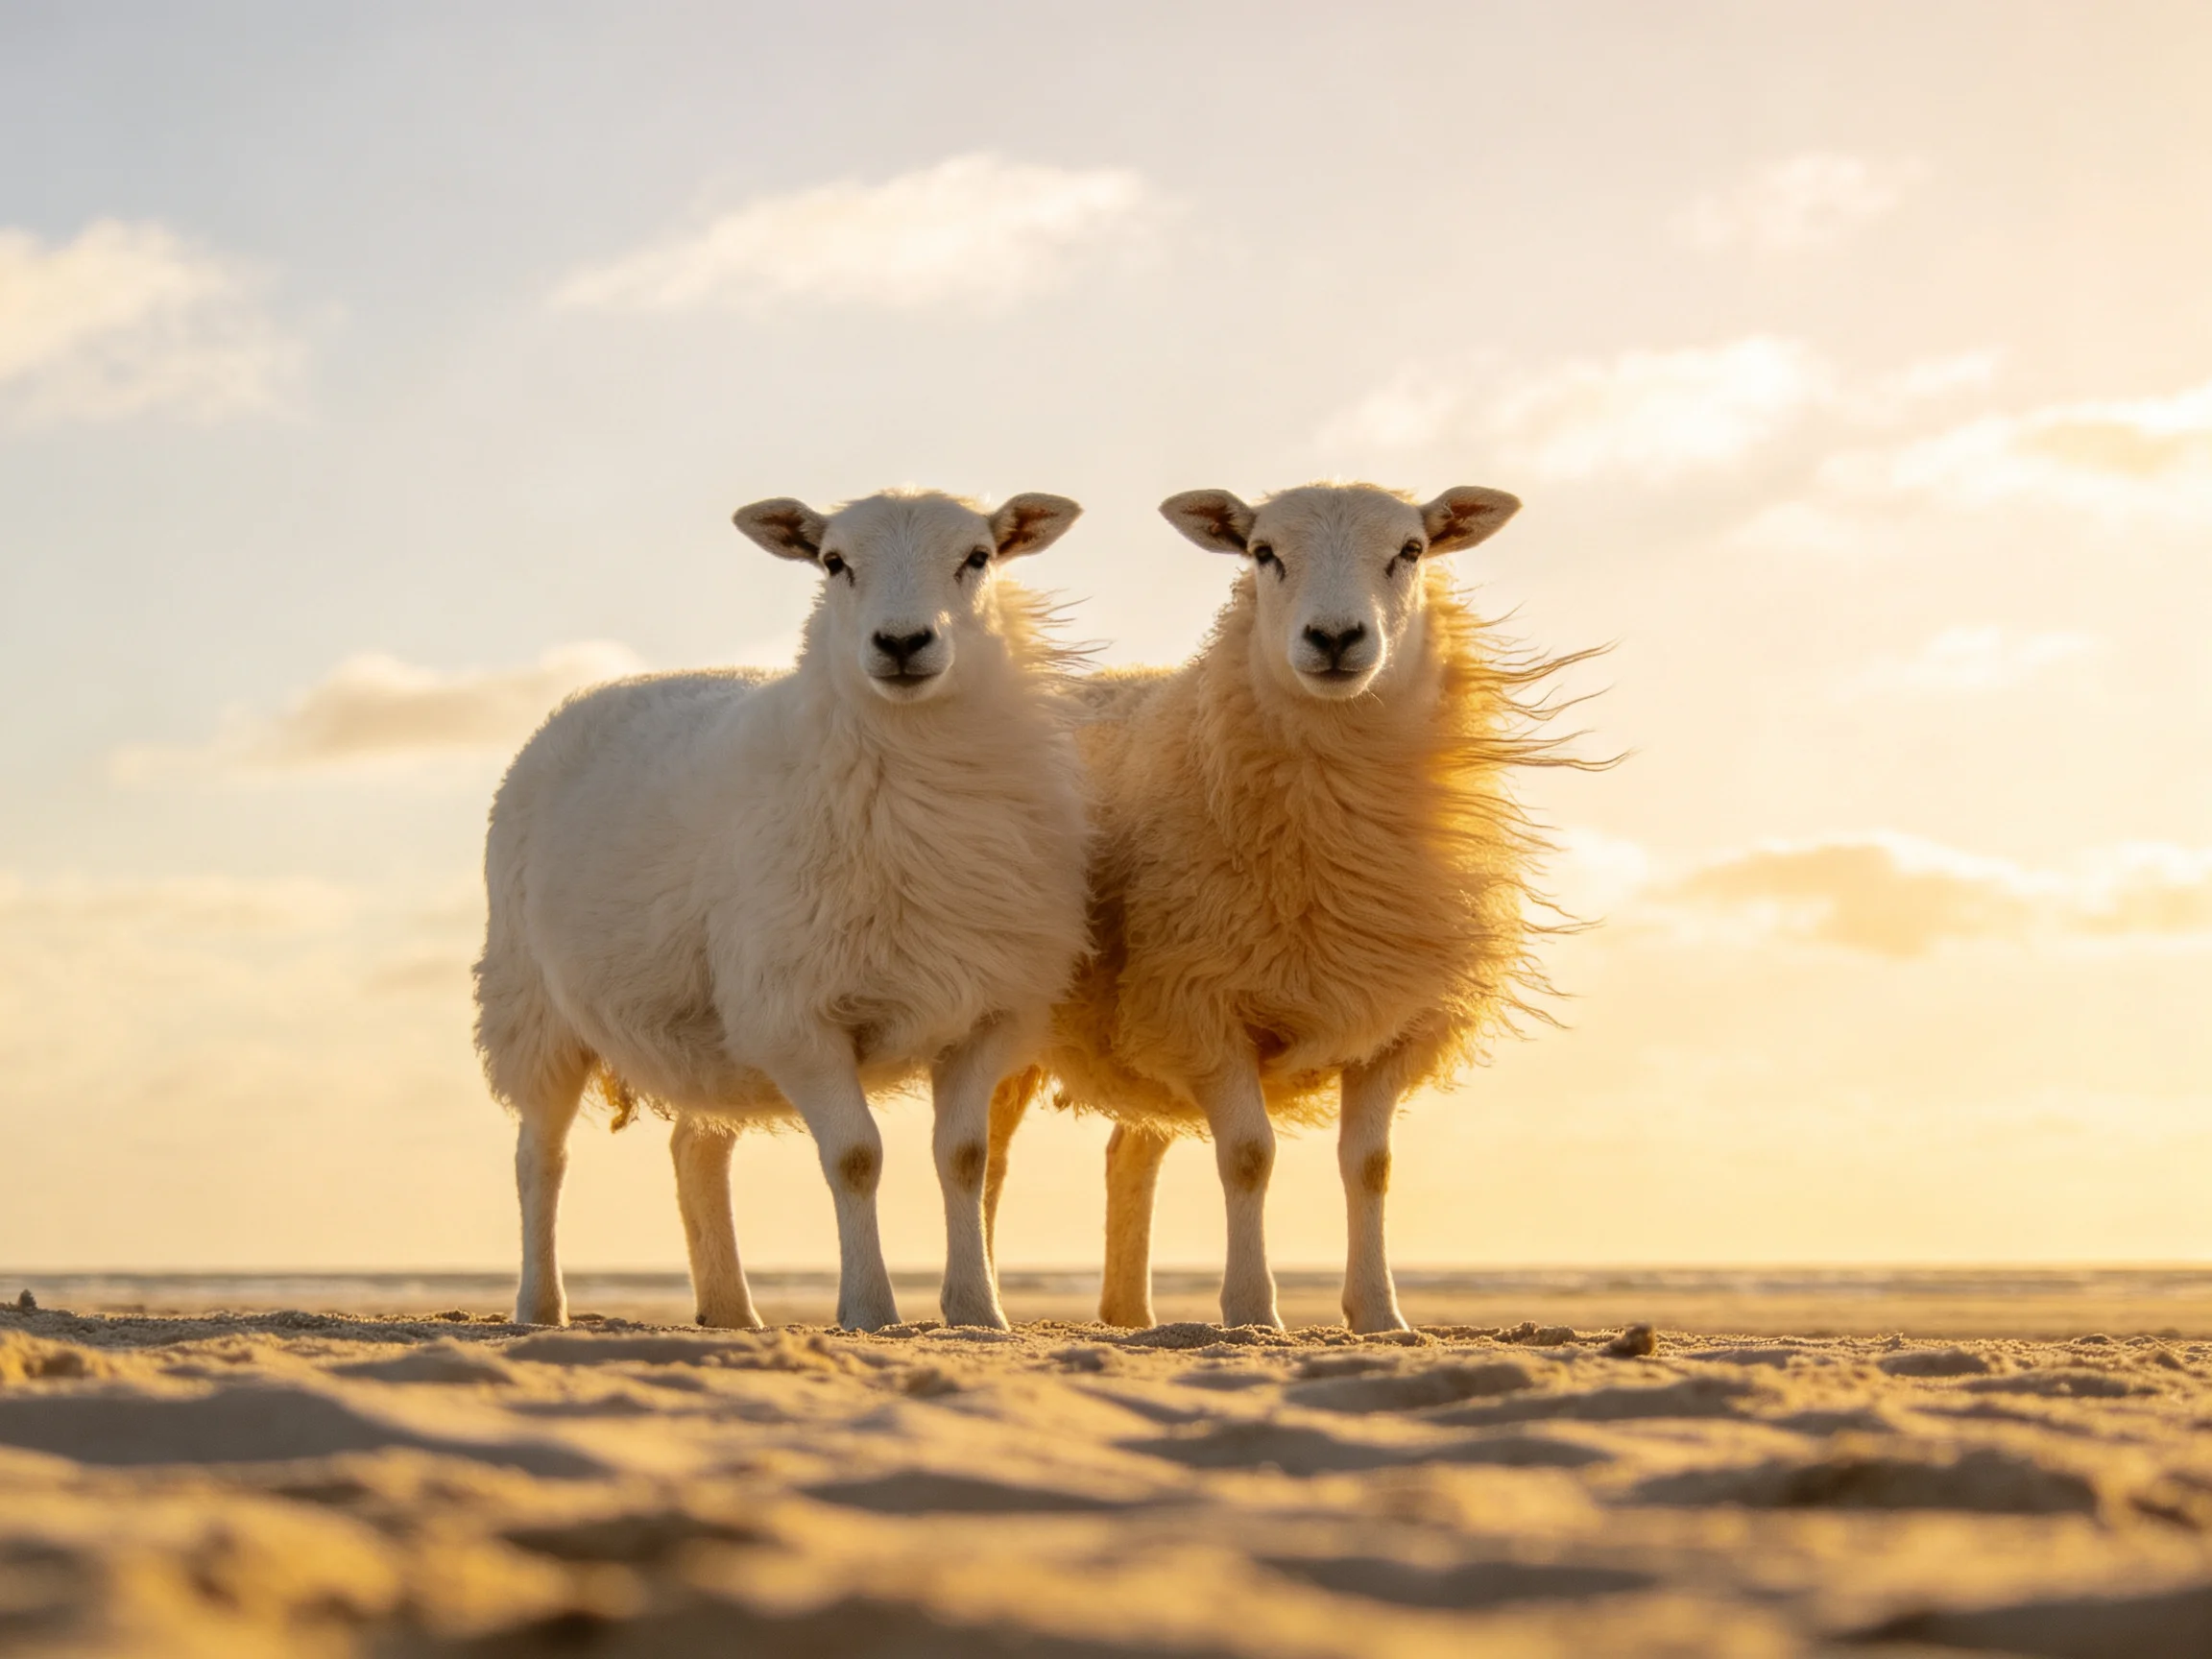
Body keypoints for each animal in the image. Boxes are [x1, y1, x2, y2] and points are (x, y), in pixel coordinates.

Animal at [473, 488, 1090, 1332]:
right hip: (533, 1006)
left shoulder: (987, 1014)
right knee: (541, 1155)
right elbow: (856, 1157)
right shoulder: (797, 1017)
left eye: (978, 556)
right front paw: (869, 1309)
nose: (902, 642)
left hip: (710, 1037)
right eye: (833, 562)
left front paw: (977, 1310)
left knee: (694, 1152)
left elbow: (964, 1159)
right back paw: (541, 1305)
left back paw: (730, 1311)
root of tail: (589, 696)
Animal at [986, 482, 1585, 1333]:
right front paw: (1251, 1310)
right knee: (989, 1155)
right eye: (1262, 552)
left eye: (1412, 550)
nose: (1334, 636)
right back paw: (982, 1304)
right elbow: (1248, 1157)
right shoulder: (1203, 1003)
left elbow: (1371, 1166)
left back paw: (1130, 1314)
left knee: (1129, 1151)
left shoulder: (1391, 1021)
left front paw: (1379, 1313)